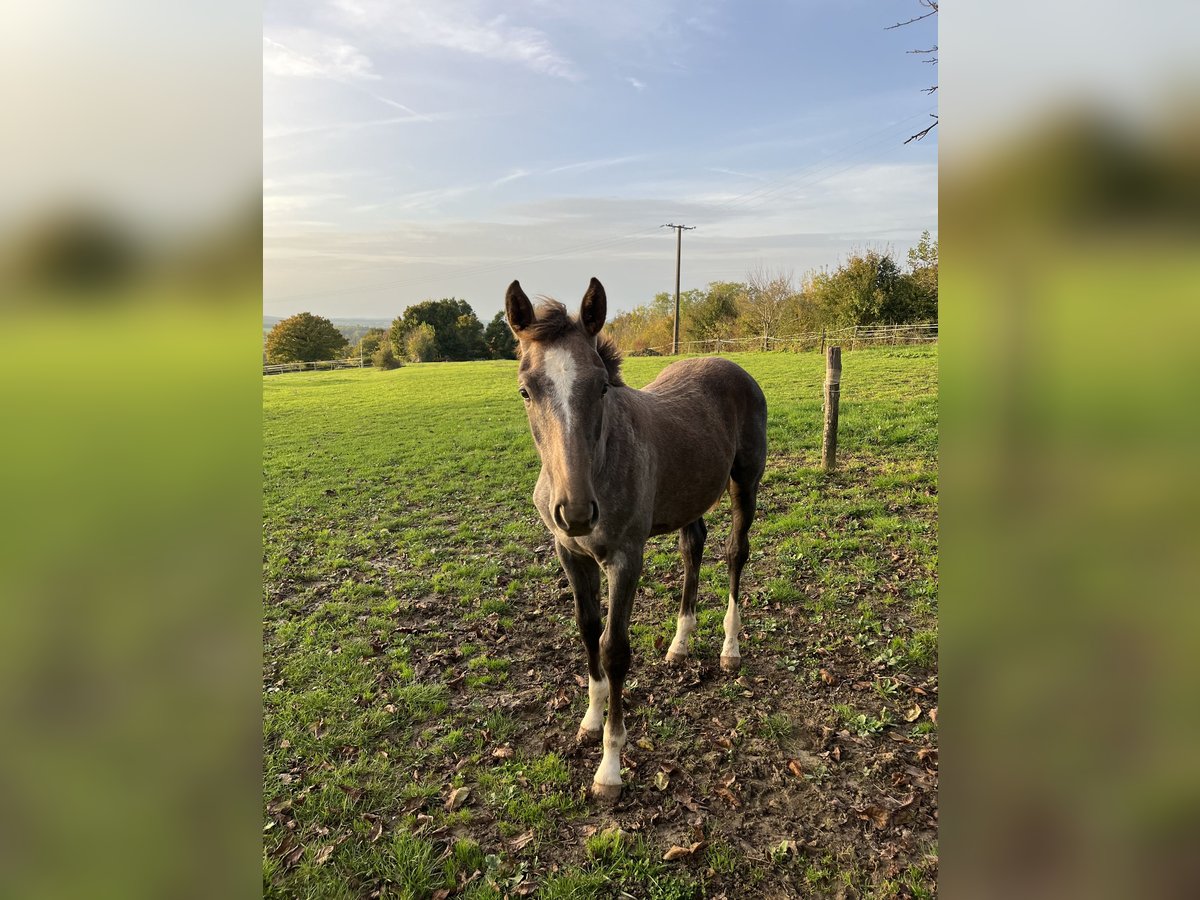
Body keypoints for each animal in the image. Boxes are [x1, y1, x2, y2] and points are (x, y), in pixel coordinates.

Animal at [504, 278, 768, 801]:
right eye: (525, 390)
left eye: (601, 385)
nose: (576, 513)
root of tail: (733, 365)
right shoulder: (570, 554)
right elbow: (588, 631)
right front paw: (590, 720)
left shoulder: (626, 559)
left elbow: (614, 648)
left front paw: (610, 767)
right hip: (689, 495)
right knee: (694, 547)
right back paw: (680, 644)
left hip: (744, 482)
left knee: (735, 553)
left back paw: (730, 648)